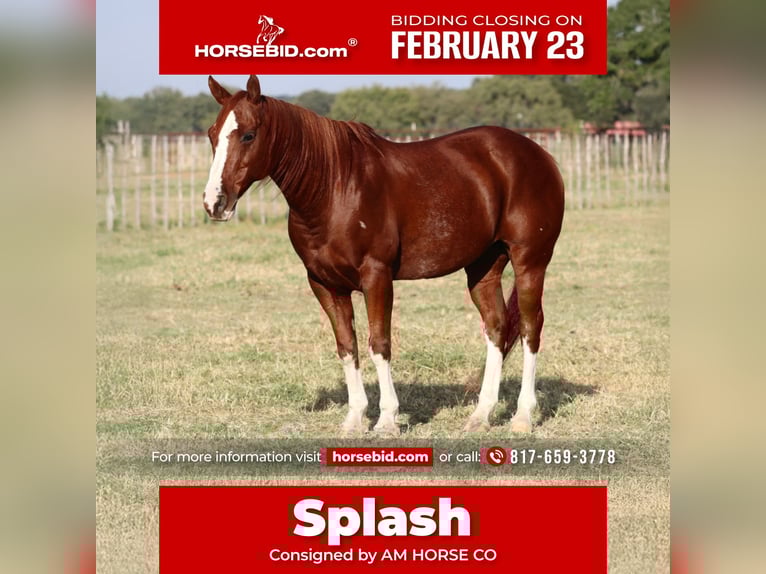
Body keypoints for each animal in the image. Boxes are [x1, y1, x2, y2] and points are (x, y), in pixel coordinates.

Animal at [203, 75, 565, 435]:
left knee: (530, 328)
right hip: (484, 266)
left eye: (248, 135)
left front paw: (387, 419)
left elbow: (379, 343)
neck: (334, 188)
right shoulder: (324, 284)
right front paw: (354, 418)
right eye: (212, 134)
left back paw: (522, 416)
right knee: (497, 327)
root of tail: (539, 155)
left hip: (530, 261)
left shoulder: (376, 276)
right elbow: (347, 347)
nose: (214, 202)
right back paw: (481, 414)